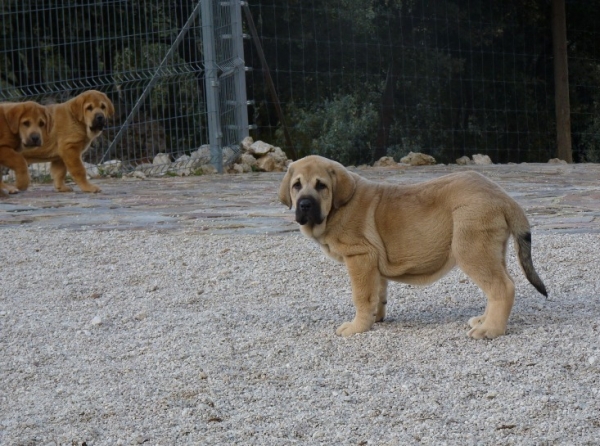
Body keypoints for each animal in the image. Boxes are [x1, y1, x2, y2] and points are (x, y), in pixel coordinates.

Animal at [278, 155, 548, 340]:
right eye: (296, 185)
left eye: (321, 186)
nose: (304, 205)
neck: (337, 207)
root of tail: (503, 196)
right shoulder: (372, 262)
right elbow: (378, 293)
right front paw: (376, 318)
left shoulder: (359, 257)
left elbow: (362, 296)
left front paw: (356, 327)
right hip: (491, 250)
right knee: (497, 286)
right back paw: (484, 320)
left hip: (471, 249)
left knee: (503, 287)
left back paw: (490, 329)